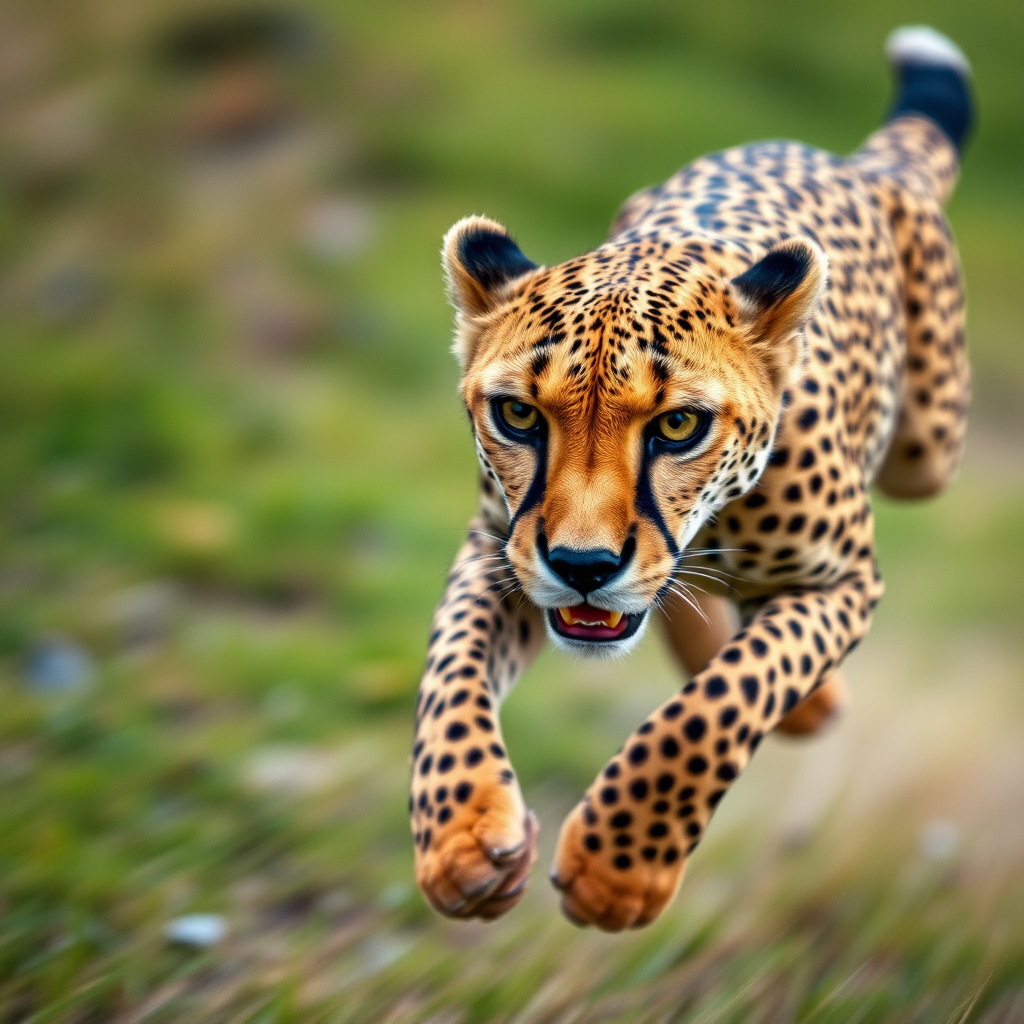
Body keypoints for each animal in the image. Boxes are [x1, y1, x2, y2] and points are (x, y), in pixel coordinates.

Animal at [408, 26, 973, 930]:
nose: (584, 568)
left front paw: (616, 871)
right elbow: (449, 676)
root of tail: (853, 160)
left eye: (678, 426)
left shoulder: (842, 581)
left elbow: (721, 703)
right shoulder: (498, 549)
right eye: (520, 415)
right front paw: (460, 840)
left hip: (928, 450)